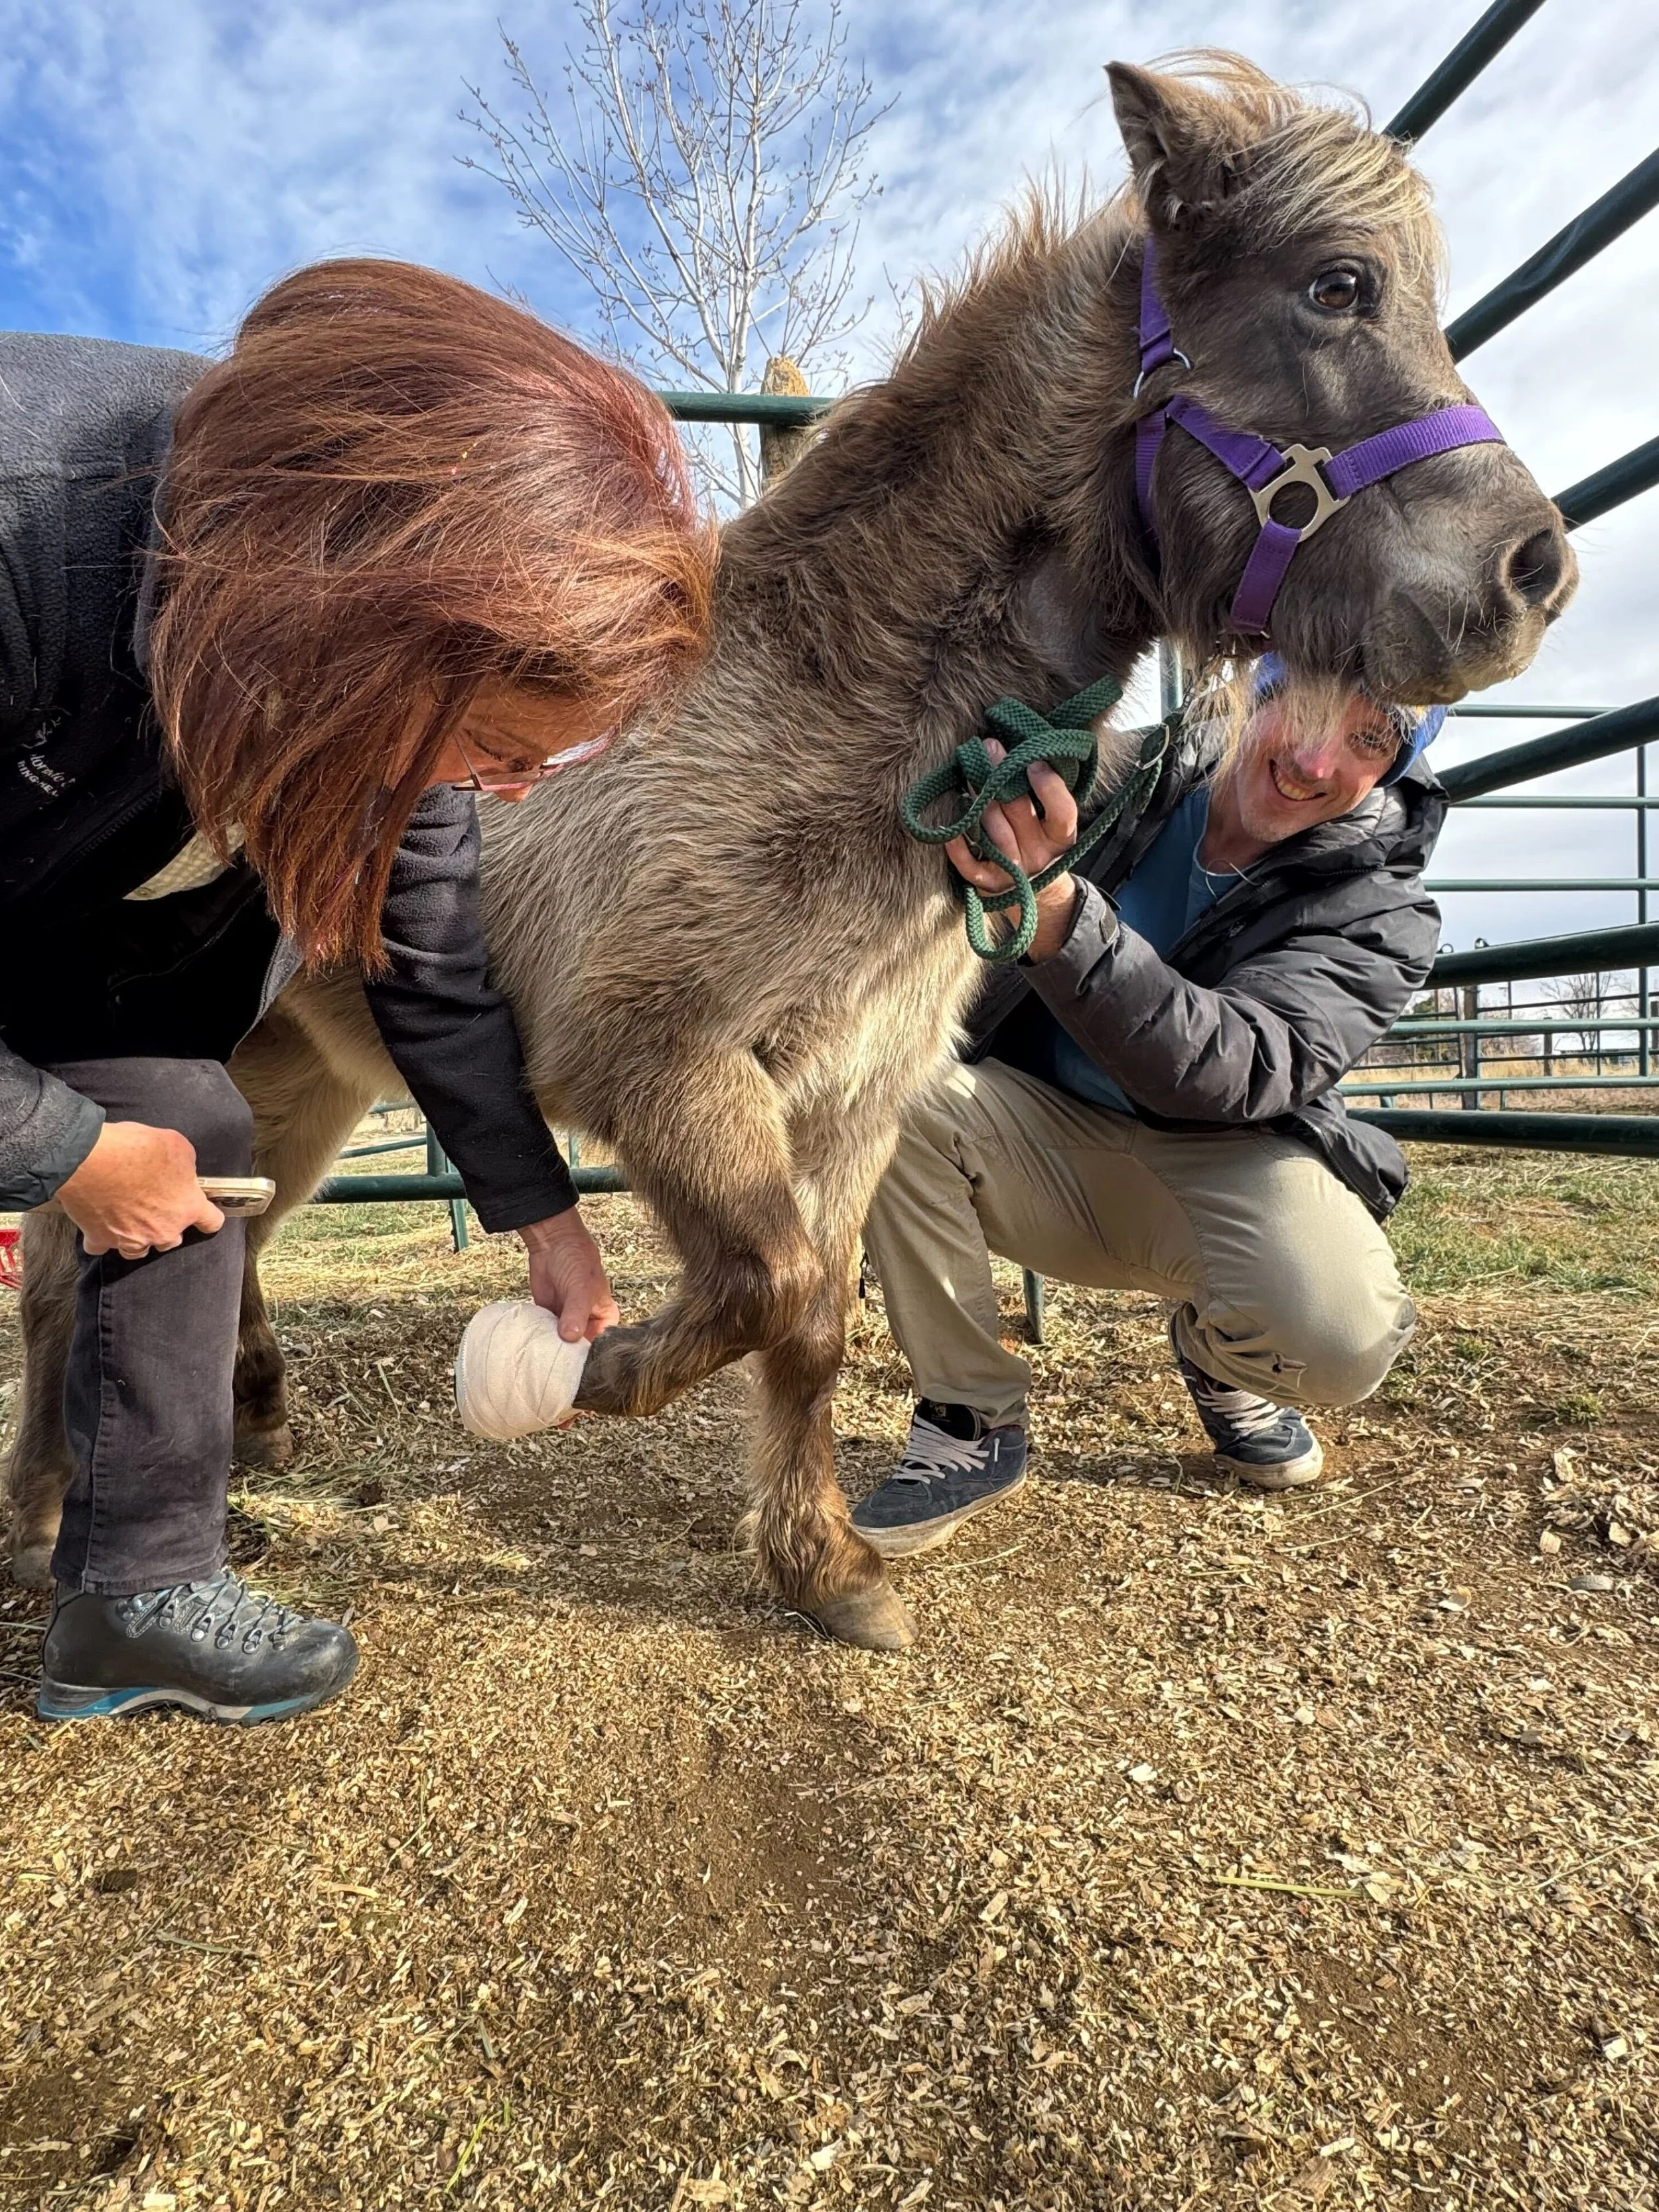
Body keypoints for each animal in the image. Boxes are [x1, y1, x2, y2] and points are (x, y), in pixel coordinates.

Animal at [6, 56, 1577, 1646]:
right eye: (1338, 284)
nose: (1538, 574)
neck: (821, 713)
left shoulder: (852, 1098)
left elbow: (814, 1317)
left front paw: (821, 1565)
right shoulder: (664, 1068)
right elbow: (773, 1284)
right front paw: (601, 1371)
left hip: (304, 1081)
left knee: (227, 1239)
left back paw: (251, 1430)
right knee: (83, 1255)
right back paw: (55, 1515)